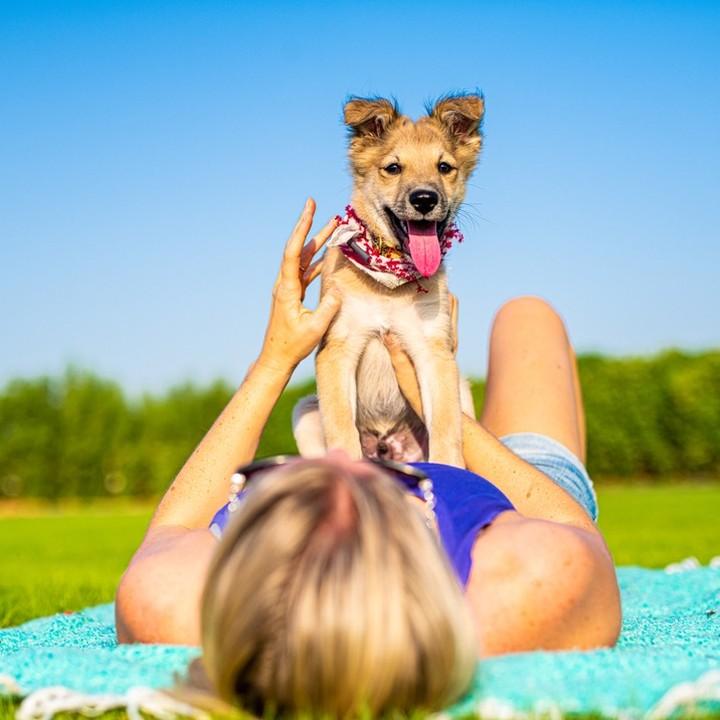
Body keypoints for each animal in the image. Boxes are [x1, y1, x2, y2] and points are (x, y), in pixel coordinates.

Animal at [292, 93, 484, 464]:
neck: (389, 283)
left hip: (464, 391)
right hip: (305, 411)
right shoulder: (338, 347)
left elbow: (446, 429)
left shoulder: (434, 351)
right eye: (393, 168)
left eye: (444, 167)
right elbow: (342, 431)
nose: (424, 199)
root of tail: (386, 444)